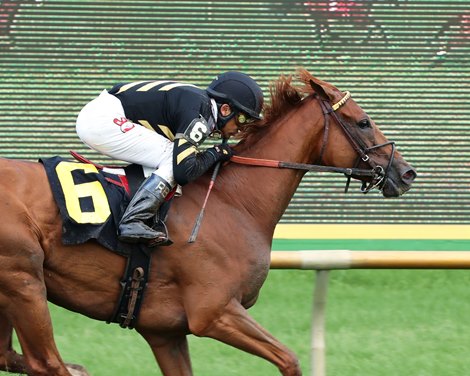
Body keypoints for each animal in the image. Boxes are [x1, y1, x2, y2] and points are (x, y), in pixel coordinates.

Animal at [0, 69, 414, 374]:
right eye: (363, 122)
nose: (406, 173)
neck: (234, 201)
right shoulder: (213, 312)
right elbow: (290, 360)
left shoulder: (164, 332)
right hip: (25, 282)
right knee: (46, 363)